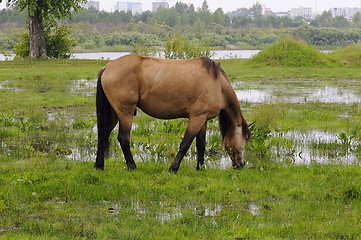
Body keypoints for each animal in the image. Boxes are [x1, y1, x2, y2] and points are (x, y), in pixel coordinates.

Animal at [95, 54, 253, 172]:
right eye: (245, 138)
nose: (241, 164)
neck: (217, 84)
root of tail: (107, 67)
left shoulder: (203, 119)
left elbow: (201, 145)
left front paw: (201, 167)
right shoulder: (197, 117)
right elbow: (185, 143)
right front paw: (173, 168)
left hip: (114, 113)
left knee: (103, 135)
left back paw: (99, 165)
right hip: (125, 113)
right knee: (123, 139)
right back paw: (132, 166)